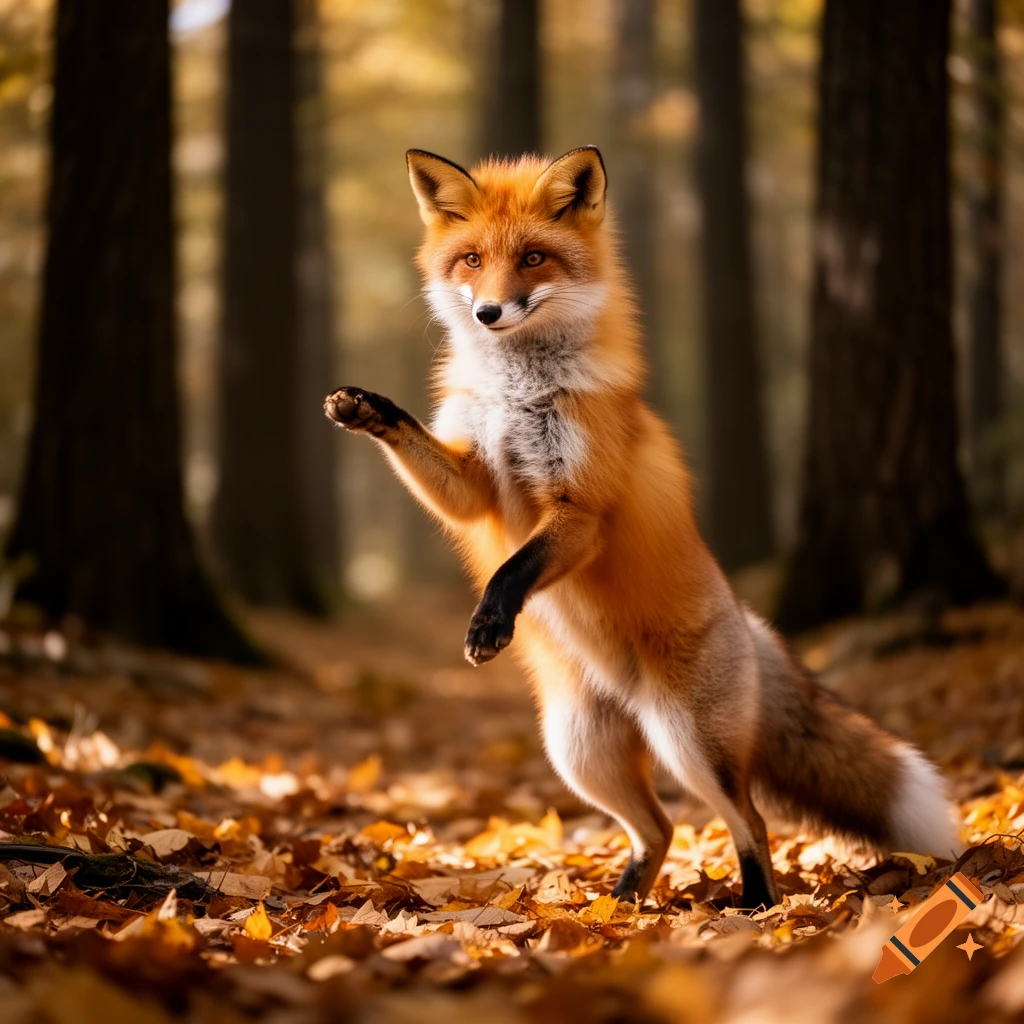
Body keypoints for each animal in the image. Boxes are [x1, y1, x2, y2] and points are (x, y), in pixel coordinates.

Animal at [324, 146, 960, 908]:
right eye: (472, 259)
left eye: (533, 258)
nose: (487, 311)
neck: (517, 394)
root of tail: (748, 619)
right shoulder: (475, 482)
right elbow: (438, 469)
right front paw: (366, 408)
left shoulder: (581, 509)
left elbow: (515, 566)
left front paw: (489, 623)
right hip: (579, 753)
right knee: (658, 830)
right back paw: (621, 905)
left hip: (688, 743)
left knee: (748, 821)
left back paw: (755, 907)